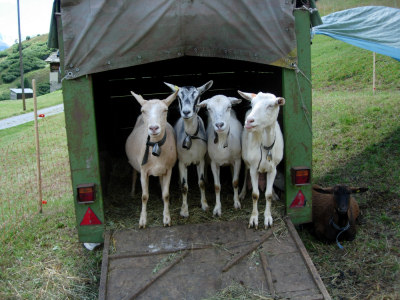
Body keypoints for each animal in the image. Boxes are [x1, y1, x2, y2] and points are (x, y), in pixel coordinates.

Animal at [126, 91, 177, 227]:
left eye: (165, 110)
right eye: (143, 110)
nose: (154, 128)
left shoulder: (169, 169)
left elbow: (166, 194)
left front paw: (167, 218)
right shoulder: (144, 171)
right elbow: (144, 196)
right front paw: (142, 221)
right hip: (135, 164)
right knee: (134, 174)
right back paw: (132, 192)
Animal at [163, 81, 212, 217]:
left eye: (197, 96)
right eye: (178, 97)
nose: (186, 112)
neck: (190, 136)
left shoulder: (201, 160)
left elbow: (201, 183)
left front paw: (205, 205)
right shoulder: (182, 162)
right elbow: (185, 186)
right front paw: (184, 210)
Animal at [238, 90, 284, 229]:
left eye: (271, 105)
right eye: (252, 104)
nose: (249, 121)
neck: (266, 146)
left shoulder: (273, 168)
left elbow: (267, 195)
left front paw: (268, 218)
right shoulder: (254, 168)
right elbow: (255, 194)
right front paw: (254, 219)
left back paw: (274, 194)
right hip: (246, 160)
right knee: (245, 172)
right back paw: (242, 193)